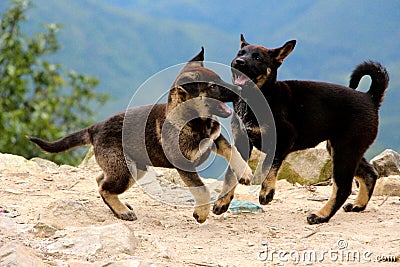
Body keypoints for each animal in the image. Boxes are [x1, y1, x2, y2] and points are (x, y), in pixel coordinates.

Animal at [27, 48, 253, 224]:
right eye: (213, 86)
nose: (240, 88)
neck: (194, 119)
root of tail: (95, 128)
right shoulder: (184, 165)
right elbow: (202, 189)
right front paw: (201, 213)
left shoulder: (216, 139)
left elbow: (232, 151)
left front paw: (245, 172)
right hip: (125, 170)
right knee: (104, 188)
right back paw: (122, 211)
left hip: (134, 168)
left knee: (100, 179)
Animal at [214, 34, 390, 225]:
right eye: (240, 53)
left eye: (257, 58)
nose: (238, 62)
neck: (255, 99)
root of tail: (370, 97)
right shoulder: (241, 142)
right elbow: (231, 173)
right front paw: (222, 202)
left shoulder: (284, 138)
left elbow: (270, 164)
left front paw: (266, 191)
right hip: (342, 149)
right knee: (370, 174)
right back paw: (358, 205)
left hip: (345, 150)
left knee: (343, 188)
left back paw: (321, 215)